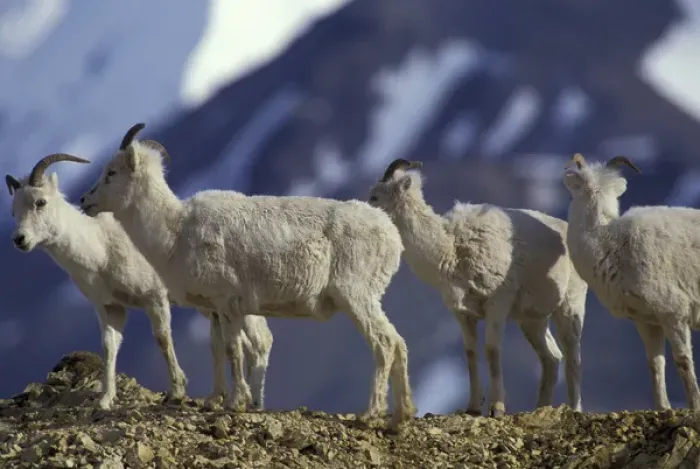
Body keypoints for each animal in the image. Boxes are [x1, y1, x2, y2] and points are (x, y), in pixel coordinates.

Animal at [80, 160, 274, 411]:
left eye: (111, 173)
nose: (84, 200)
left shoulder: (156, 300)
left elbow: (164, 339)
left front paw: (177, 392)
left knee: (260, 341)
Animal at [368, 159, 588, 417]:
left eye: (374, 197)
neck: (451, 248)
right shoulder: (463, 313)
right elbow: (471, 353)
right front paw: (472, 407)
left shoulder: (497, 304)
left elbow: (492, 350)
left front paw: (497, 408)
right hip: (532, 321)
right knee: (551, 358)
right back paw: (539, 408)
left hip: (569, 308)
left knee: (573, 358)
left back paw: (575, 409)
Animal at [563, 153, 700, 410]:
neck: (610, 242)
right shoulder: (646, 320)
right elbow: (655, 364)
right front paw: (663, 408)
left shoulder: (674, 313)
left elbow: (683, 362)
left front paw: (694, 406)